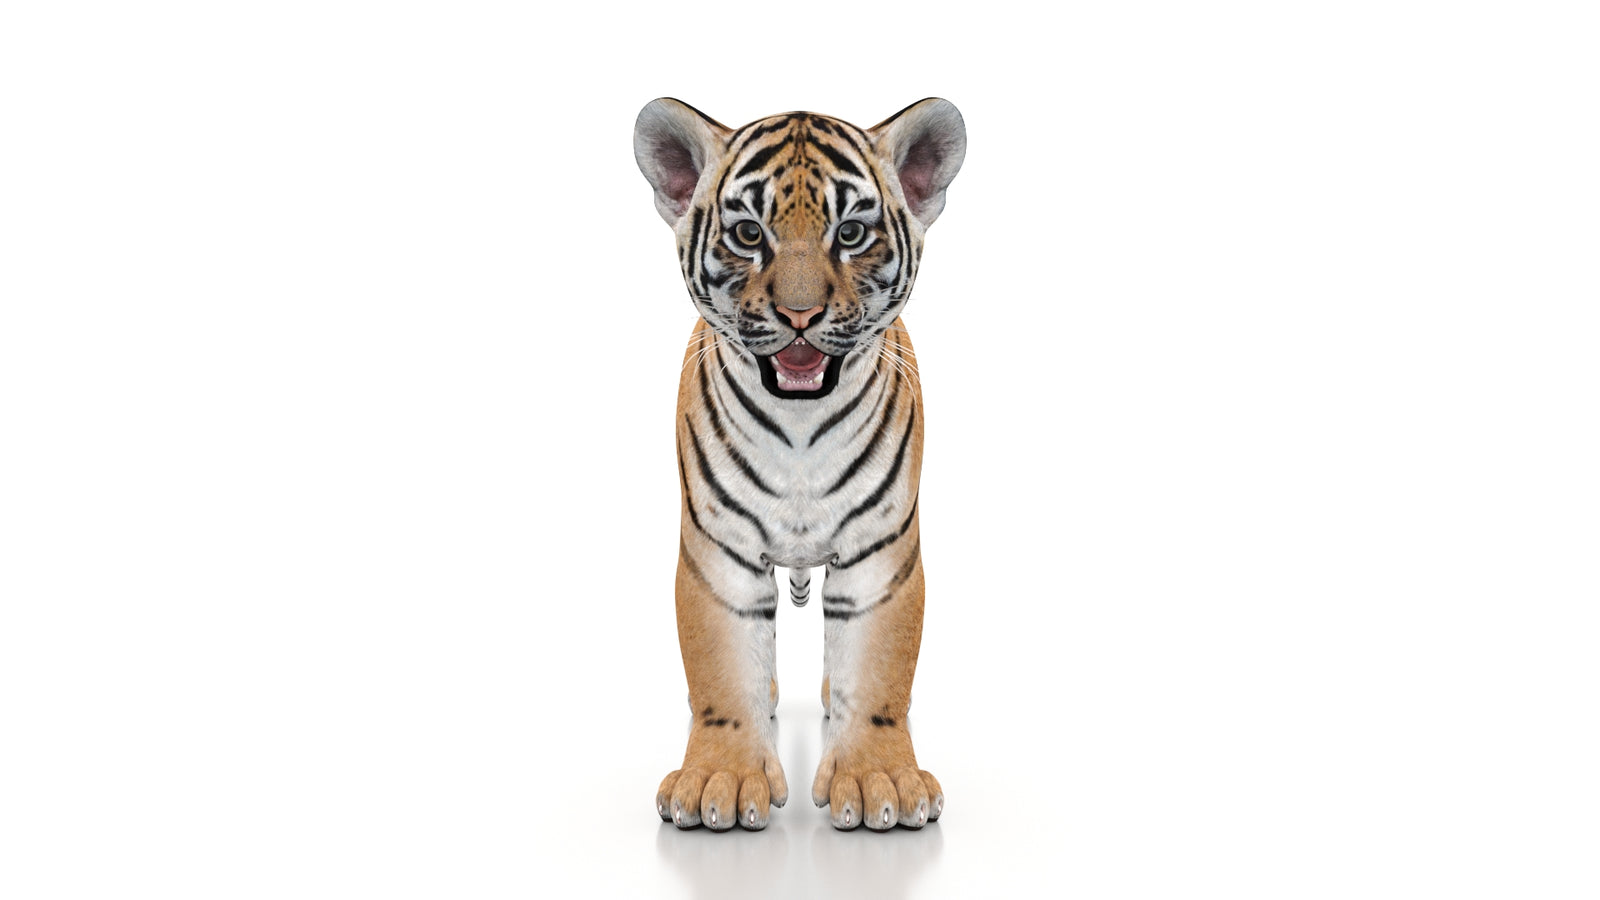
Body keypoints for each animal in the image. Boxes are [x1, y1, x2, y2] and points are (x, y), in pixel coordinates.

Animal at [633, 98, 965, 832]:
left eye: (852, 232)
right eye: (748, 233)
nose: (800, 316)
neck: (800, 428)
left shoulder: (880, 556)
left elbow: (878, 673)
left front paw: (878, 782)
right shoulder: (719, 554)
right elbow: (723, 671)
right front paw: (721, 781)